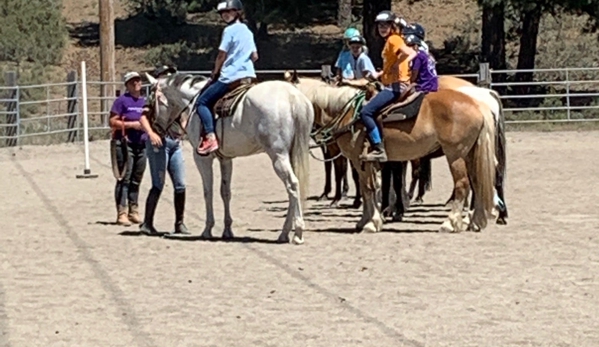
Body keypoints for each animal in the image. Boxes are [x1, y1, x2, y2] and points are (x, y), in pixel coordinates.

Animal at [145, 73, 314, 245]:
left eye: (151, 100)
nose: (156, 129)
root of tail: (293, 96)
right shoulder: (226, 159)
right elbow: (225, 192)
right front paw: (227, 230)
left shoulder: (201, 158)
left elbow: (208, 191)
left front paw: (207, 229)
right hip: (290, 154)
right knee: (293, 187)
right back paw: (286, 232)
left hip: (278, 156)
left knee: (292, 184)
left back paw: (296, 232)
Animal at [286, 72, 496, 237]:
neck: (348, 112)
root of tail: (479, 105)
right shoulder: (363, 162)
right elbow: (368, 189)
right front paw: (365, 220)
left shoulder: (359, 160)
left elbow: (369, 188)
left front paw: (372, 223)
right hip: (470, 154)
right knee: (477, 183)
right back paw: (475, 221)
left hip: (455, 154)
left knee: (462, 185)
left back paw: (449, 223)